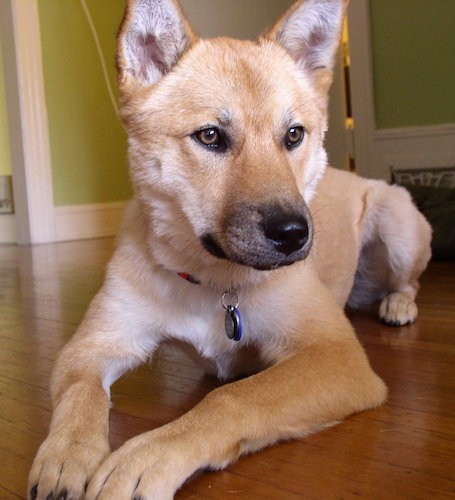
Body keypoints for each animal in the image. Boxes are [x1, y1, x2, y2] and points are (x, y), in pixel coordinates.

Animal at [26, 1, 432, 498]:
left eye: (293, 135)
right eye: (210, 137)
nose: (294, 234)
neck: (215, 280)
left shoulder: (336, 356)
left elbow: (233, 398)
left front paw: (148, 456)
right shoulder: (91, 346)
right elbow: (79, 396)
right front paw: (65, 457)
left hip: (397, 223)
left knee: (408, 282)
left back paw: (398, 304)